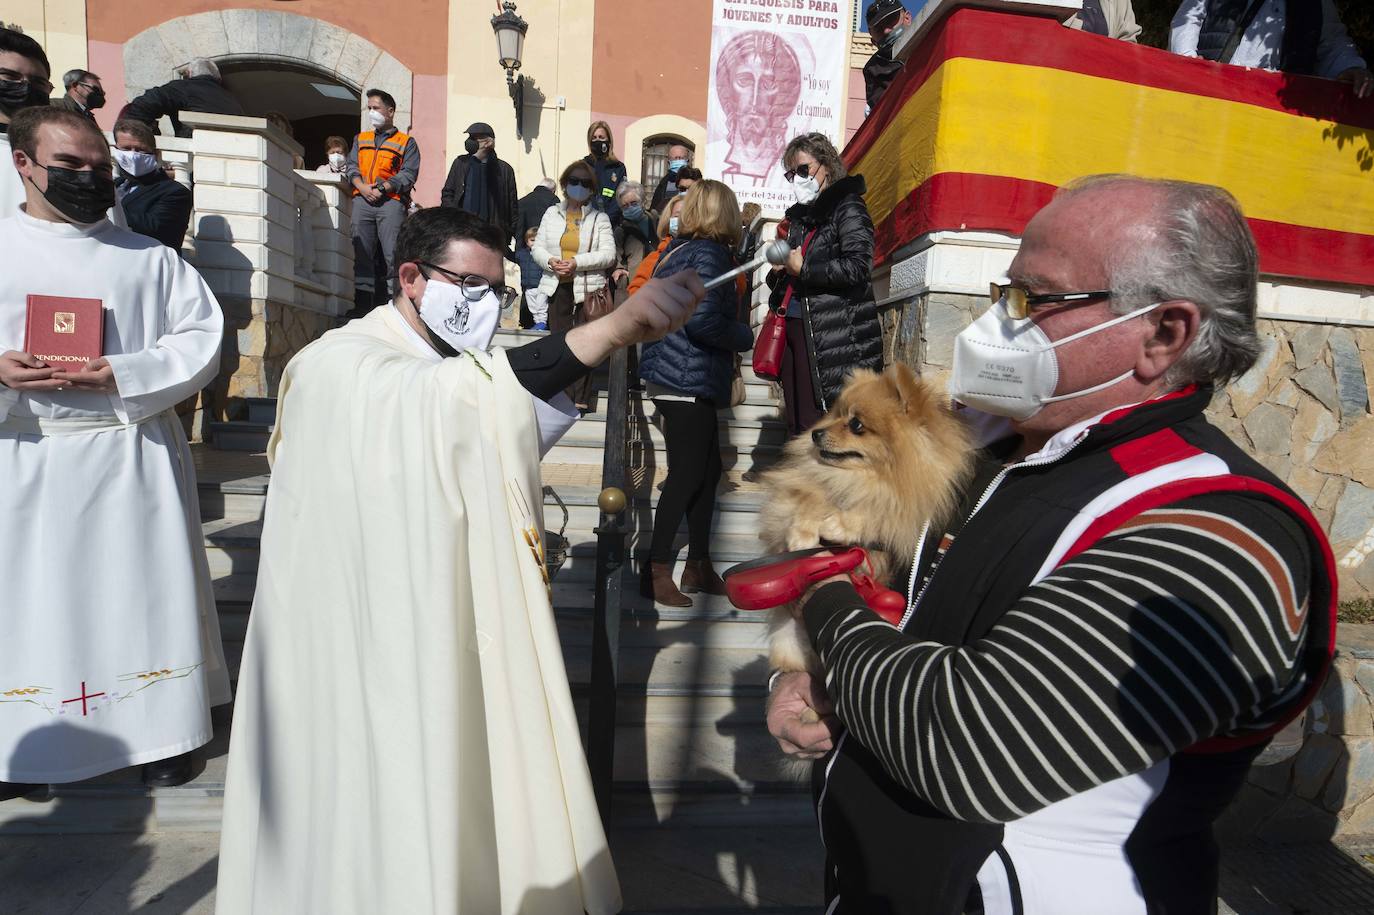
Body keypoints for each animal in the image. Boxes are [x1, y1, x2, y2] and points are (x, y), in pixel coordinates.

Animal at [758, 362, 972, 675]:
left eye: (856, 424)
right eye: (836, 414)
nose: (816, 433)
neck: (866, 481)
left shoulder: (905, 515)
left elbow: (877, 517)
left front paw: (840, 525)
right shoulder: (800, 490)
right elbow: (811, 499)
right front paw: (803, 534)